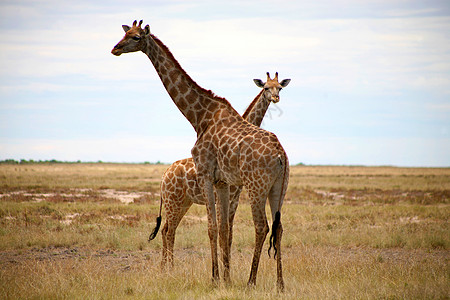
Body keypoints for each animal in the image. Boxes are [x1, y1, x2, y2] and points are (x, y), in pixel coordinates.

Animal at [149, 72, 292, 268]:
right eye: (266, 88)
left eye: (280, 87)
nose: (276, 98)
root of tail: (164, 176)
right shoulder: (225, 196)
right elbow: (223, 233)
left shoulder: (234, 199)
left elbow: (229, 234)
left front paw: (227, 266)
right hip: (173, 201)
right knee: (168, 231)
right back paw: (169, 268)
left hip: (184, 202)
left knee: (165, 229)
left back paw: (165, 267)